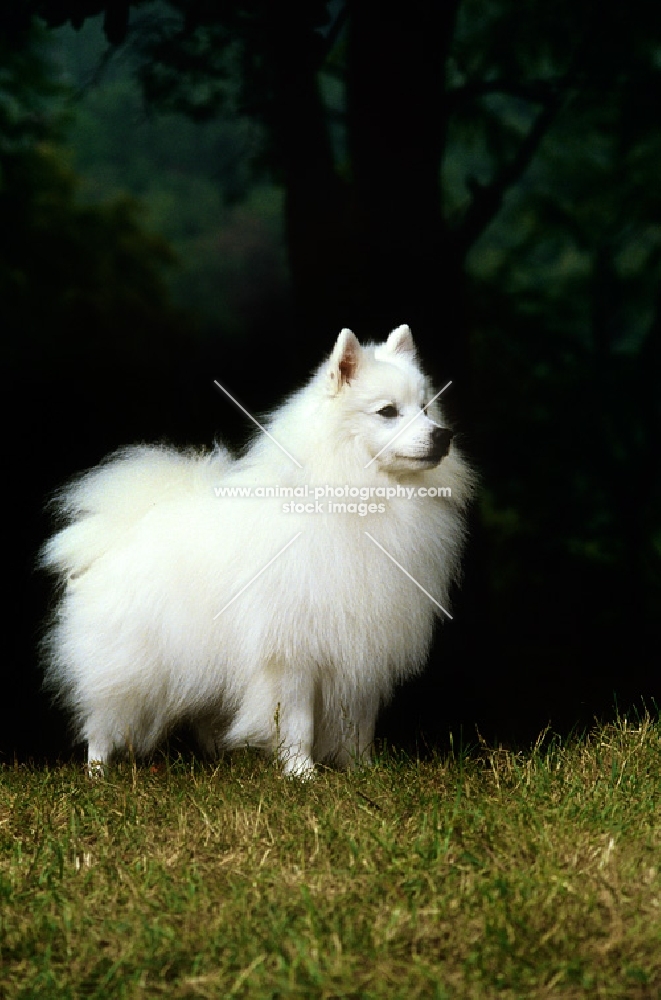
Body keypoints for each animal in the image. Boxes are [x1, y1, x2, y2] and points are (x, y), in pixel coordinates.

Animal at [41, 324, 472, 776]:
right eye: (388, 412)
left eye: (425, 408)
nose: (443, 435)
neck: (365, 493)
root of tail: (122, 528)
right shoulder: (292, 653)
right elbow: (298, 723)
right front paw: (302, 773)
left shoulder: (362, 647)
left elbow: (359, 724)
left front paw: (363, 770)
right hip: (130, 665)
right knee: (101, 721)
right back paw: (97, 773)